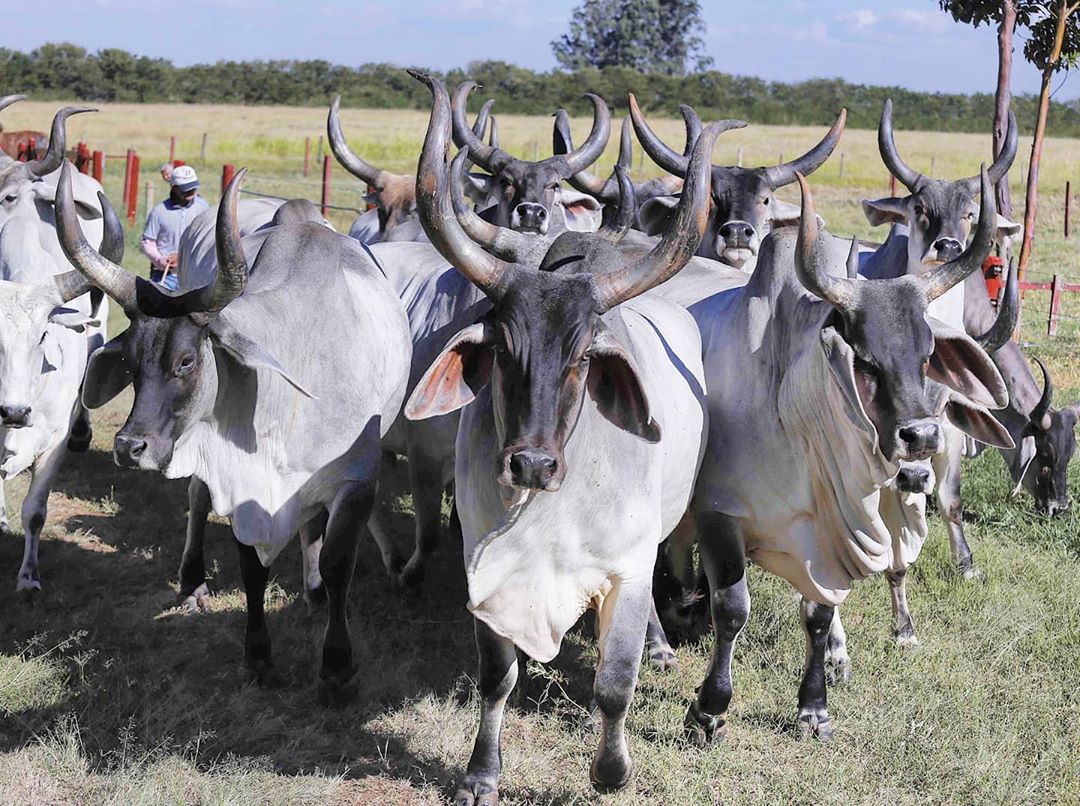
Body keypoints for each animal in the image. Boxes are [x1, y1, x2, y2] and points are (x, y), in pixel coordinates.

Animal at [406, 69, 717, 799]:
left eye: (582, 357)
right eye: (500, 348)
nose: (531, 466)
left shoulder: (626, 568)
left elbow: (615, 684)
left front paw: (611, 772)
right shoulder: (484, 571)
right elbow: (497, 680)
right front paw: (481, 774)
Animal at [665, 167, 1010, 739]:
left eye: (927, 356)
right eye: (865, 360)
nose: (921, 438)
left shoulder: (826, 536)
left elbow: (819, 614)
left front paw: (814, 704)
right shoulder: (719, 513)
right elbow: (733, 609)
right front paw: (709, 708)